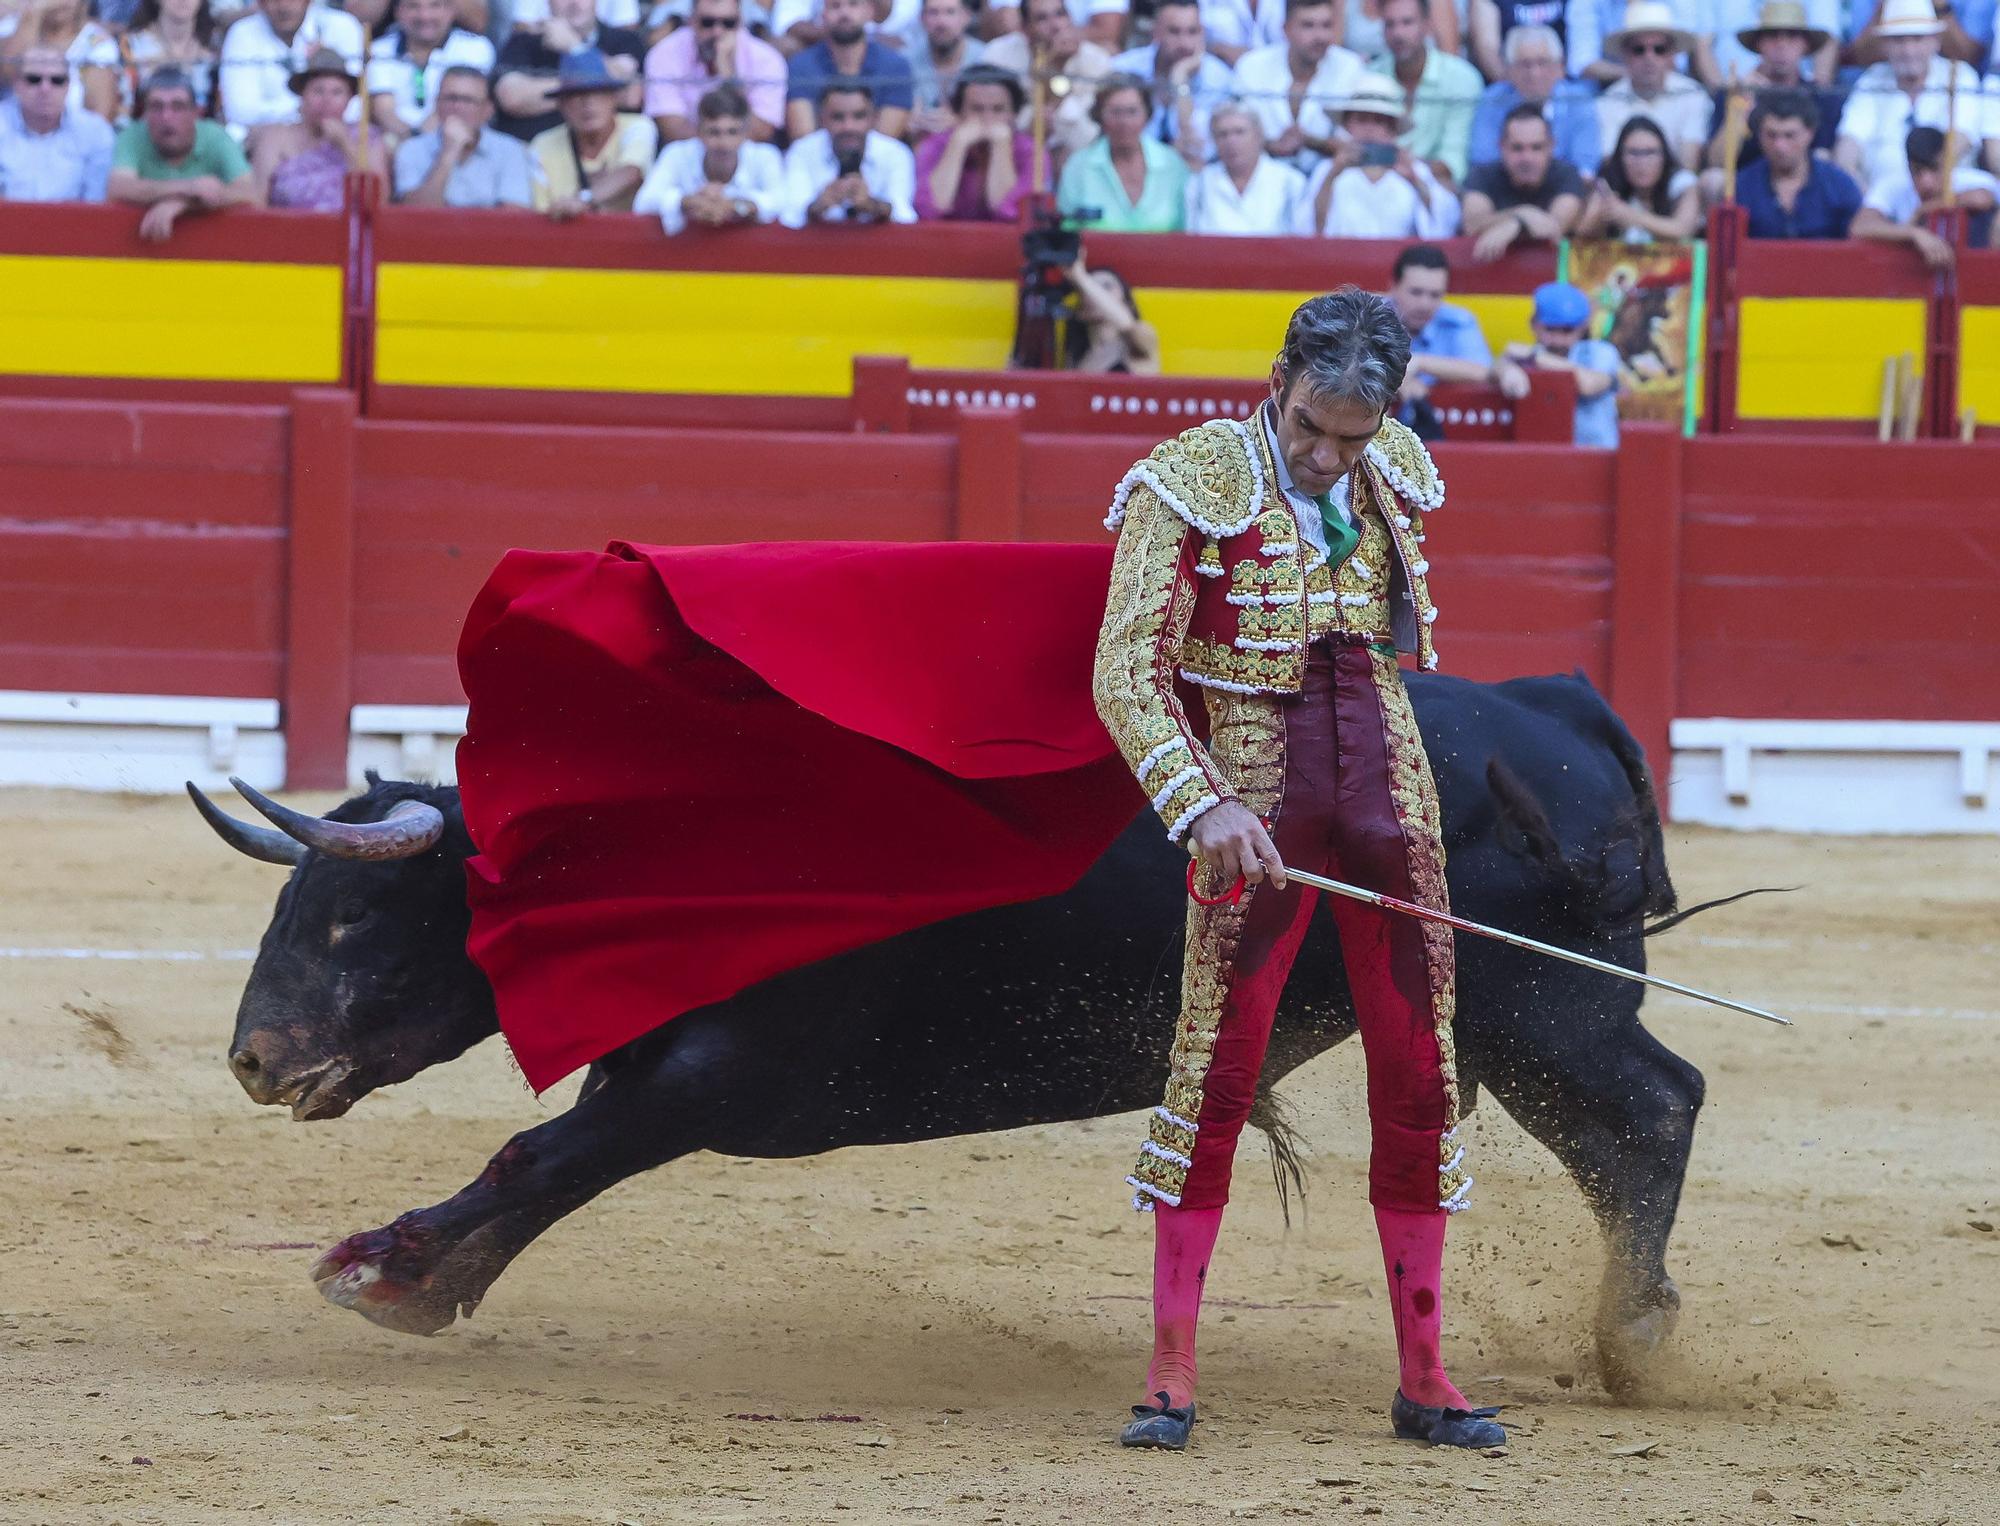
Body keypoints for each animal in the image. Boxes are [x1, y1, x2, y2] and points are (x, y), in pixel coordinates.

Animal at [191, 668, 1720, 1400]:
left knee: (1652, 1104)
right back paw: (1629, 1323)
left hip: (1539, 1001)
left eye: (351, 916)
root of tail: (1552, 705)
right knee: (1627, 1123)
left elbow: (539, 1155)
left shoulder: (709, 1075)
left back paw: (1636, 1332)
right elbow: (549, 1160)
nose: (253, 1057)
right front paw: (419, 1275)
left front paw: (386, 1268)